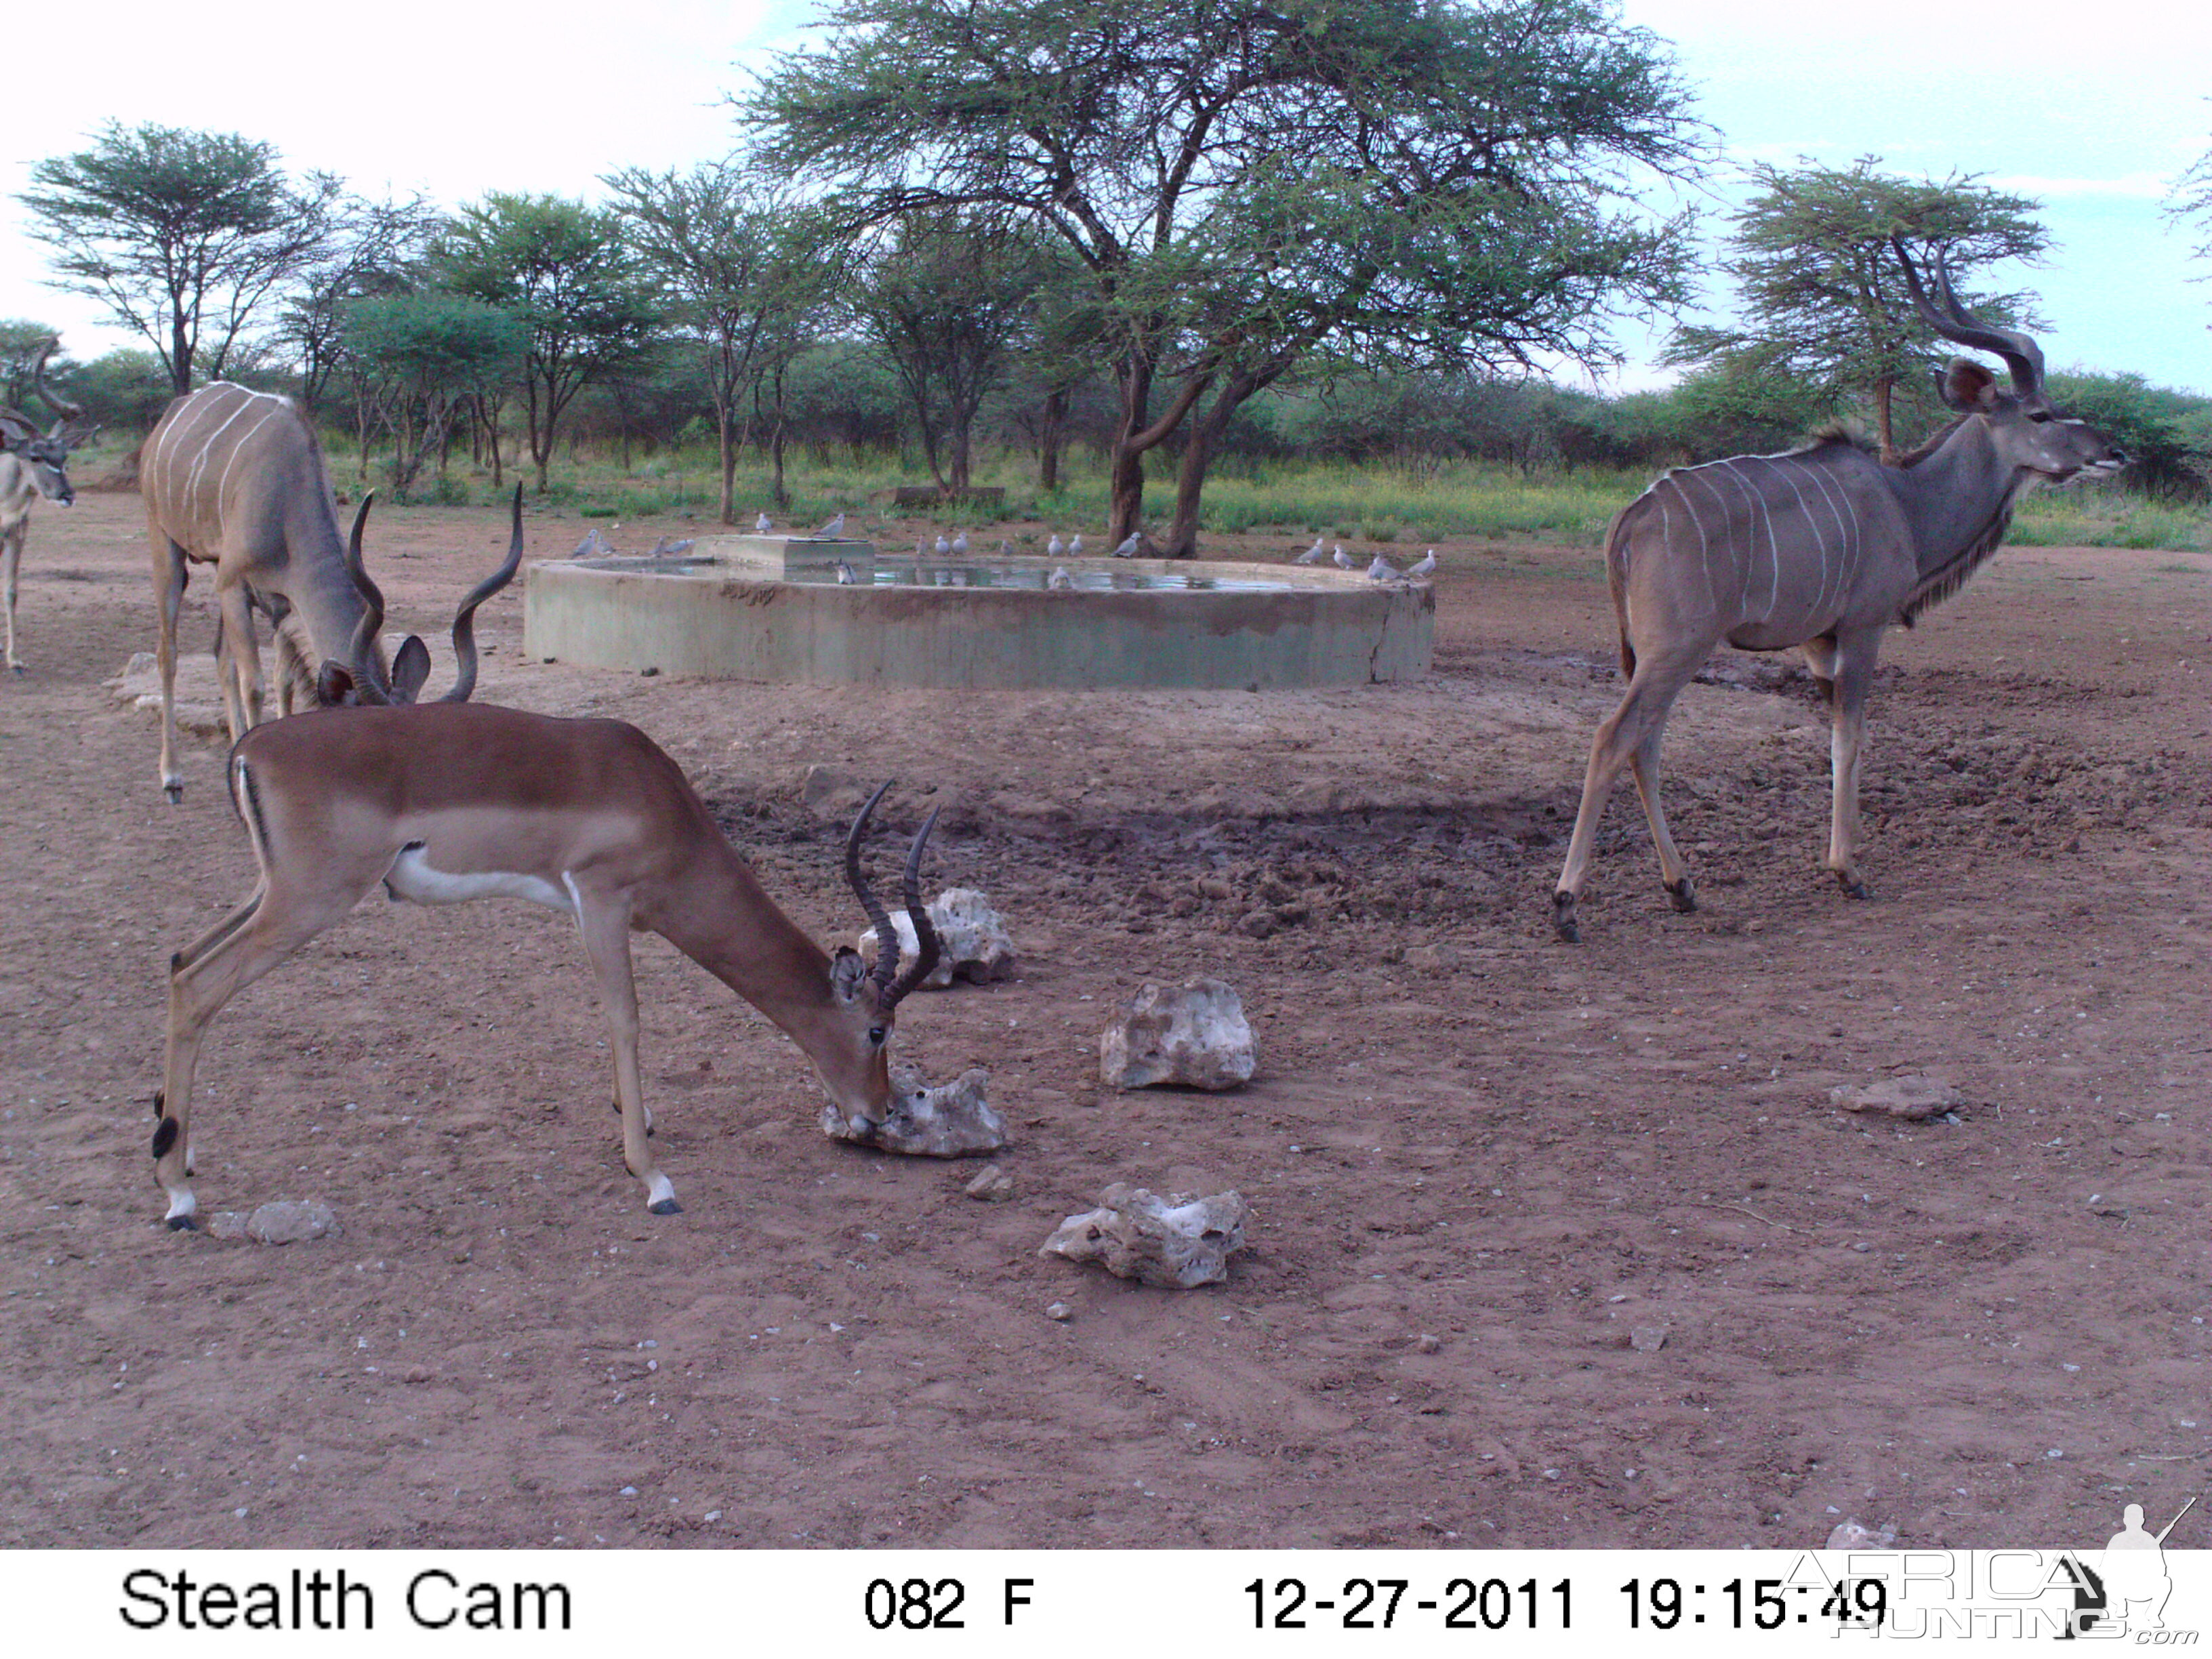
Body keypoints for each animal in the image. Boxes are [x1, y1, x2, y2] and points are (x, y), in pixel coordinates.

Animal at [0, 333, 97, 672]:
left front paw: (14, 659)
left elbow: (11, 590)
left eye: (65, 457)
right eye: (36, 456)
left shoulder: (17, 532)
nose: (67, 495)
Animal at [139, 389, 522, 805]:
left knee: (221, 656)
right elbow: (255, 684)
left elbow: (283, 682)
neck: (286, 497)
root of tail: (167, 418)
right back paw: (172, 778)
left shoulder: (284, 606)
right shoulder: (235, 585)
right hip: (166, 547)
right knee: (169, 654)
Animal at [1557, 240, 2123, 942]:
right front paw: (1849, 873)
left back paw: (1682, 888)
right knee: (1615, 737)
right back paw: (1567, 904)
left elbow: (1832, 742)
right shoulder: (1863, 627)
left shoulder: (1817, 644)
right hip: (1677, 649)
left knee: (1647, 744)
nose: (2113, 451)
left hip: (1658, 655)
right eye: (2042, 415)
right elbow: (1852, 738)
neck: (1906, 501)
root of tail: (1630, 518)